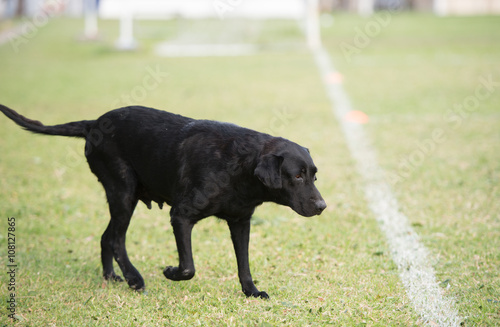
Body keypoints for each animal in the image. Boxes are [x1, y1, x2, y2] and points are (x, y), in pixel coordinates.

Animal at [0, 105, 326, 300]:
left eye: (314, 175)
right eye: (297, 175)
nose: (322, 206)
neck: (240, 164)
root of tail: (93, 123)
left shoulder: (240, 222)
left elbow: (243, 263)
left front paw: (252, 292)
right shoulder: (180, 215)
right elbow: (188, 266)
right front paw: (170, 272)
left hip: (122, 196)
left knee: (106, 238)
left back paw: (112, 277)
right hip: (123, 192)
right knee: (115, 239)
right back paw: (134, 279)